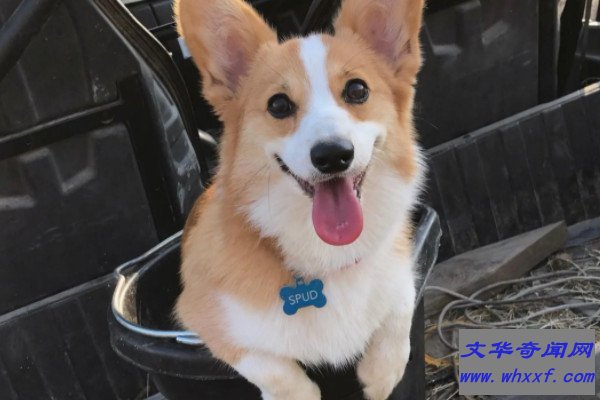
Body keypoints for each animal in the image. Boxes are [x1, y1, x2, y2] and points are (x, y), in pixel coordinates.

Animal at [174, 0, 425, 398]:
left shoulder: (399, 265)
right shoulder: (201, 312)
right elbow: (273, 368)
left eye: (357, 90)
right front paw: (298, 393)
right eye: (278, 105)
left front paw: (381, 376)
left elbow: (402, 303)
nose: (333, 155)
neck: (327, 257)